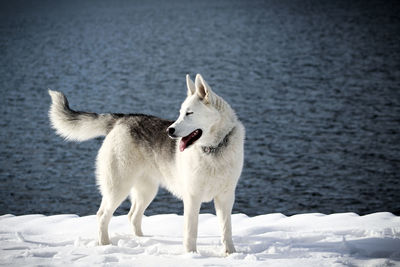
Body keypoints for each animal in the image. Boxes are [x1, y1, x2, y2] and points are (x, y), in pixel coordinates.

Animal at [49, 74, 244, 254]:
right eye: (180, 113)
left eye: (189, 113)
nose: (169, 131)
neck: (213, 150)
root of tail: (122, 119)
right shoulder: (192, 197)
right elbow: (191, 232)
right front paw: (191, 255)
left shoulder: (226, 198)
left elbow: (226, 230)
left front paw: (230, 253)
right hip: (118, 188)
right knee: (103, 215)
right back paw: (106, 245)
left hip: (146, 191)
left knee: (132, 216)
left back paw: (142, 240)